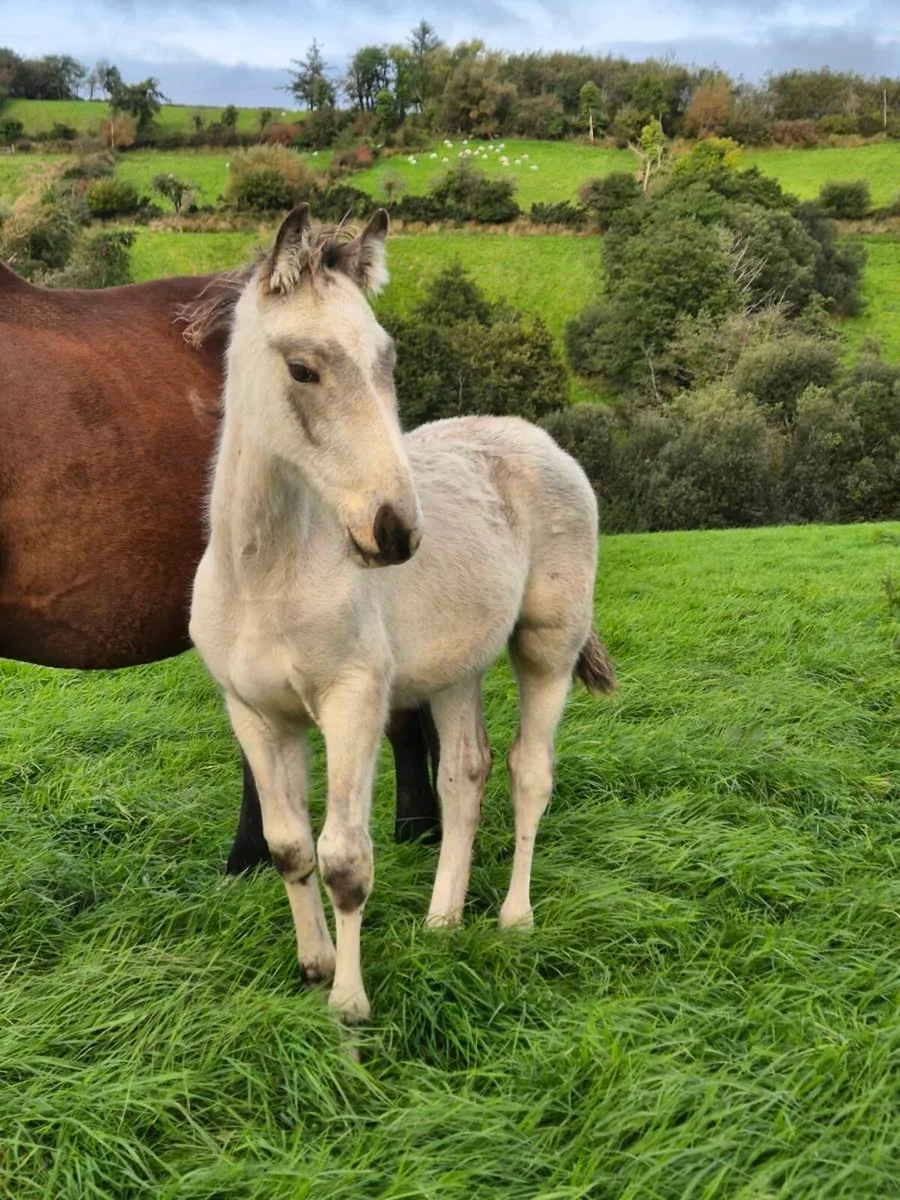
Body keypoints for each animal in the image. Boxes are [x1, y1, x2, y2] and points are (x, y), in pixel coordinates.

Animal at [188, 205, 616, 1021]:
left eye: (388, 360)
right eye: (302, 369)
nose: (395, 532)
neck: (265, 576)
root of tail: (536, 437)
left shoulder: (353, 700)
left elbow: (345, 859)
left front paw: (350, 1009)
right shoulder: (255, 713)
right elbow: (289, 845)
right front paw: (315, 964)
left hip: (546, 646)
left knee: (530, 771)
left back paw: (514, 917)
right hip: (456, 667)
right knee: (466, 772)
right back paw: (443, 919)